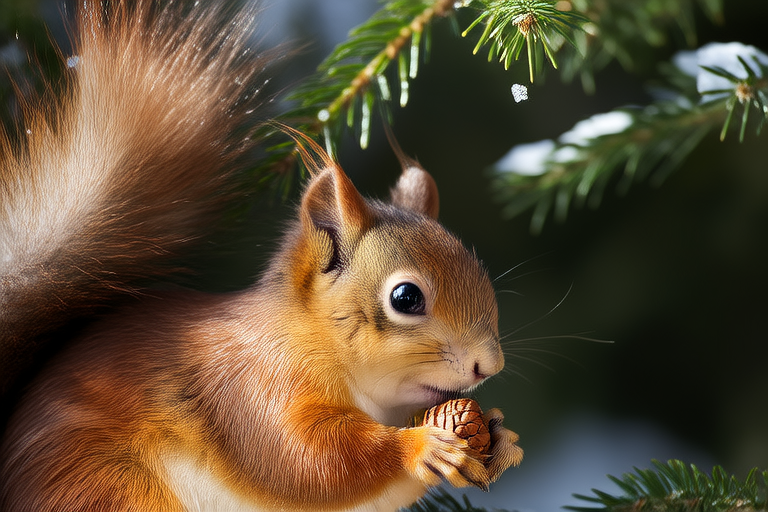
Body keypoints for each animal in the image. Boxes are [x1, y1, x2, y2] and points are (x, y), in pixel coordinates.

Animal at [0, 1, 523, 511]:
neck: (314, 339)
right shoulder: (255, 390)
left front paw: (499, 438)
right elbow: (307, 460)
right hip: (111, 489)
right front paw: (421, 446)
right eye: (406, 298)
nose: (490, 366)